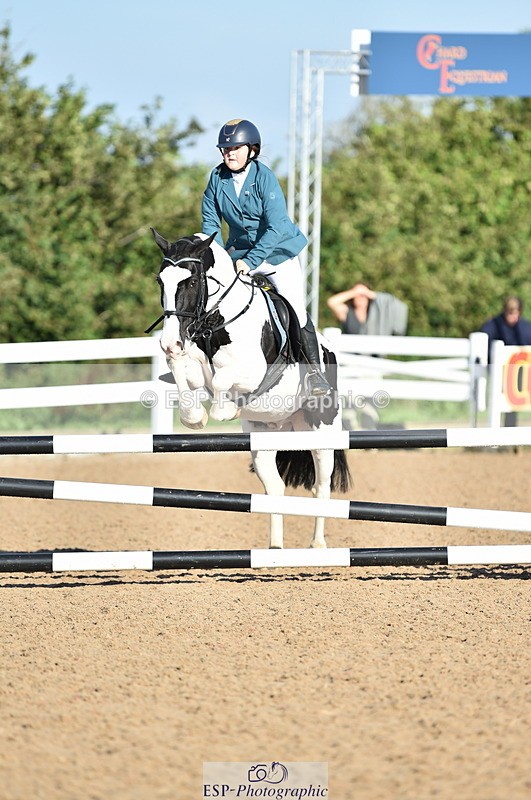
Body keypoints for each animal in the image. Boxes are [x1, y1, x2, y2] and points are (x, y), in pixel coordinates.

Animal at [147, 229, 351, 549]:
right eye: (160, 281)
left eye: (191, 282)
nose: (169, 342)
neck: (217, 321)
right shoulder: (195, 368)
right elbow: (184, 371)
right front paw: (194, 418)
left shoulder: (253, 373)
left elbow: (222, 381)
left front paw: (225, 410)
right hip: (265, 434)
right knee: (275, 487)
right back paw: (275, 548)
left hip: (322, 427)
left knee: (321, 486)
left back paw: (317, 545)